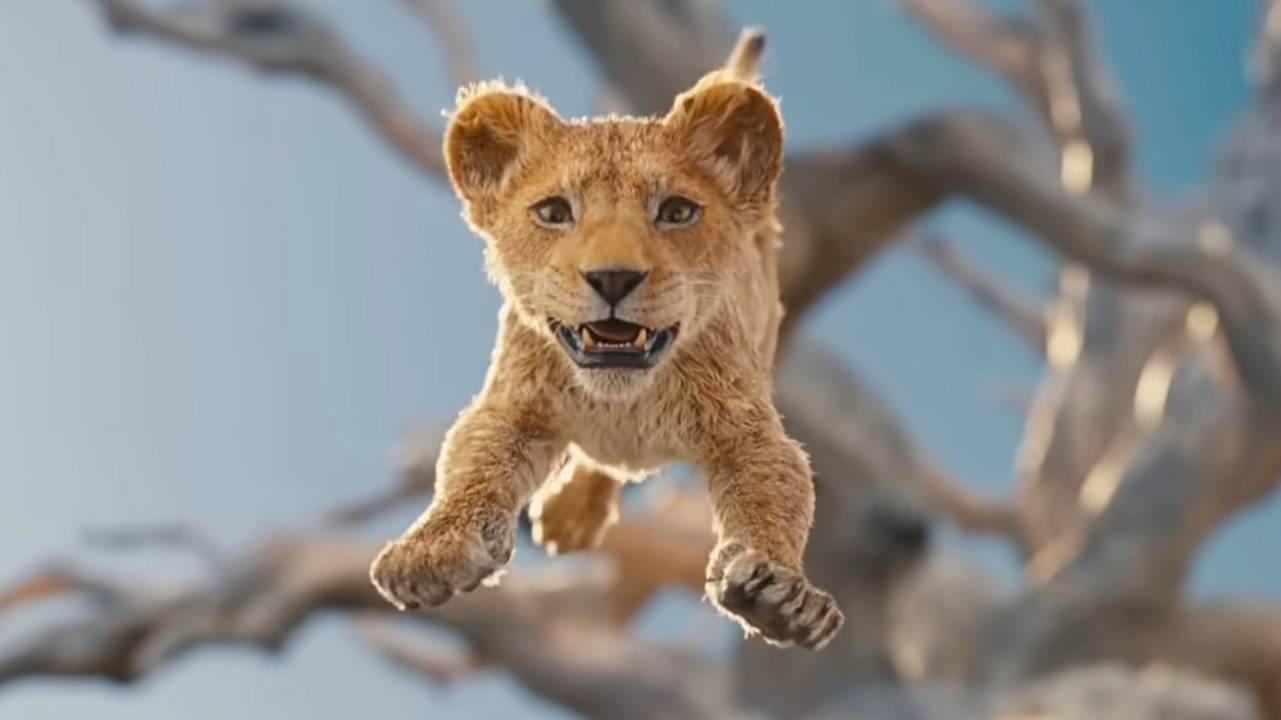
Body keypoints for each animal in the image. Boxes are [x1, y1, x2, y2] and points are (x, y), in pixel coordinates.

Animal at [369, 39, 844, 650]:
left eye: (677, 211)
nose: (613, 278)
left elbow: (776, 493)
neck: (624, 400)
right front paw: (431, 551)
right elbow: (470, 465)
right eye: (553, 211)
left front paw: (781, 594)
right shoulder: (512, 404)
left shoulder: (748, 428)